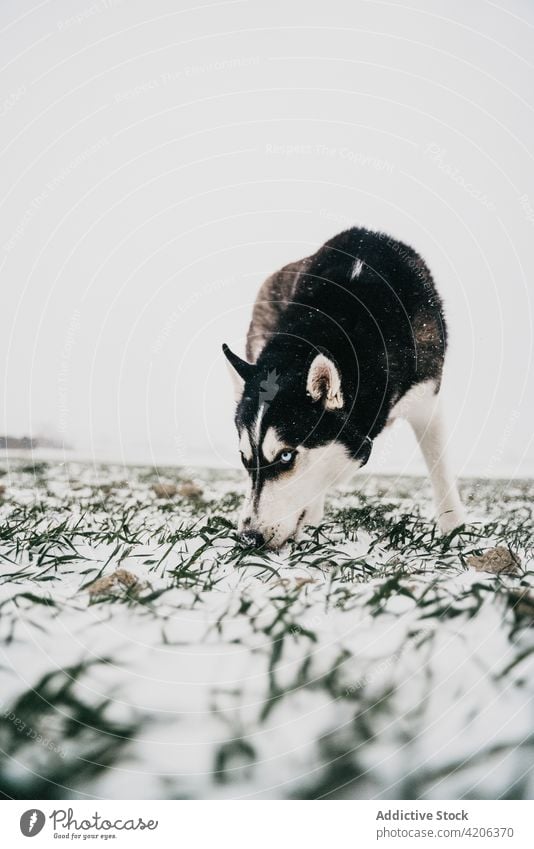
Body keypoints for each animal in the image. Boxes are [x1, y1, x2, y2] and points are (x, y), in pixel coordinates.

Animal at [224, 227, 466, 548]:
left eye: (286, 456)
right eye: (244, 458)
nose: (249, 539)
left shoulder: (426, 400)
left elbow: (439, 467)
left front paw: (454, 530)